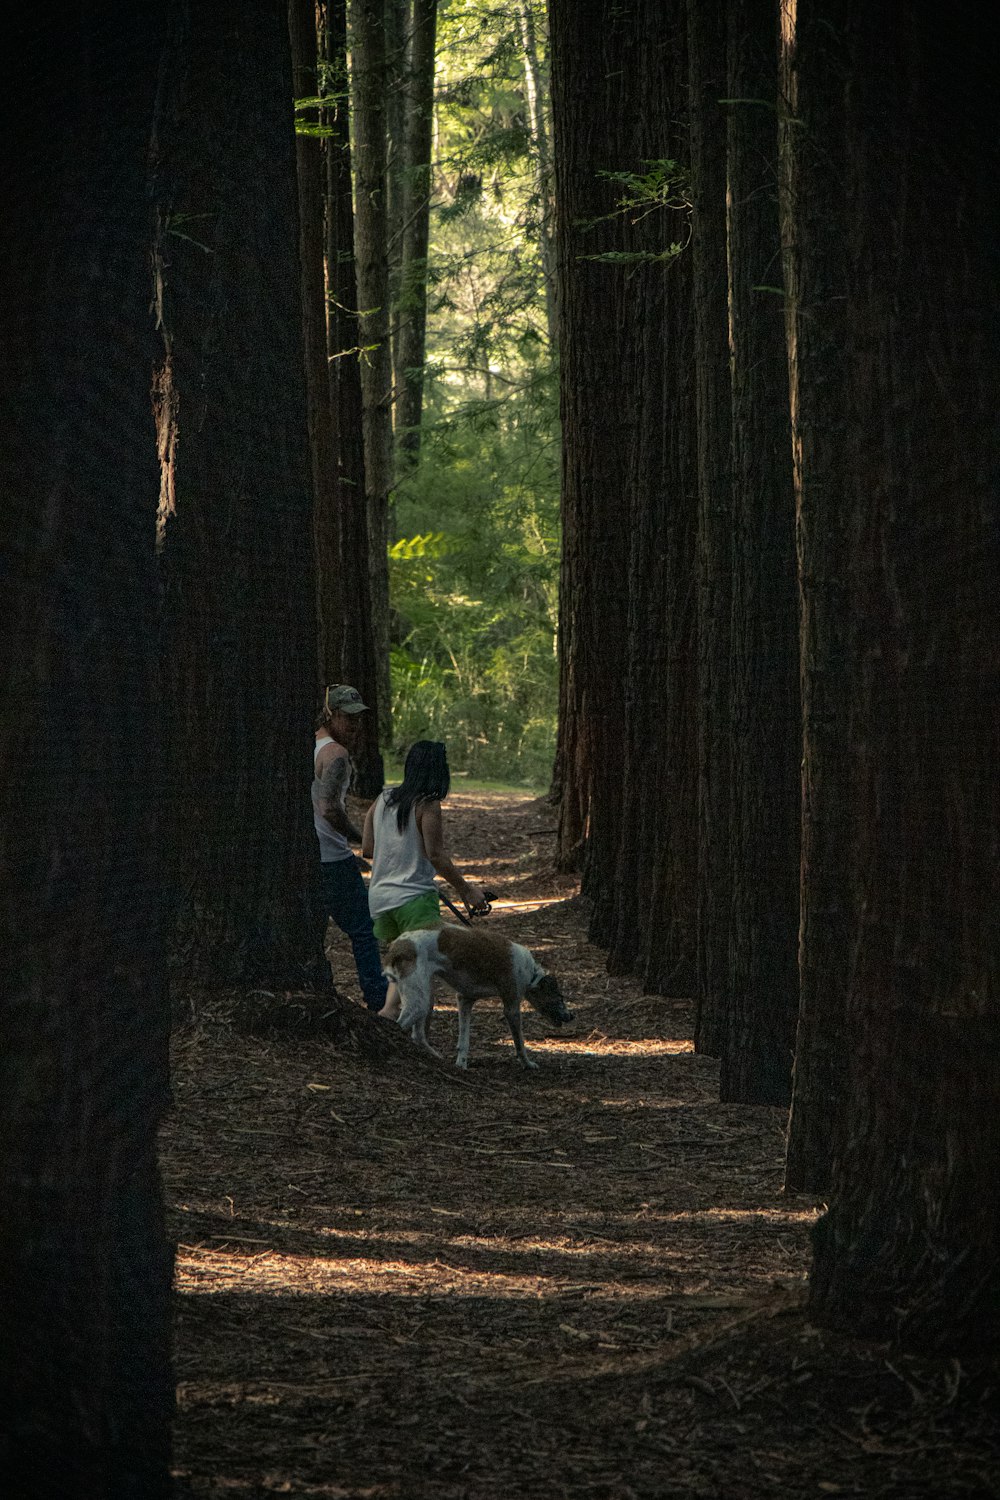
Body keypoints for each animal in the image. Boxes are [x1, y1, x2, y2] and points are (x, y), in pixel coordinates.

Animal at [379, 924, 575, 1068]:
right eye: (560, 997)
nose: (571, 1016)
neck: (531, 973)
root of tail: (396, 946)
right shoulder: (511, 1007)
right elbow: (519, 1043)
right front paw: (527, 1064)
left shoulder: (465, 999)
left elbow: (463, 1042)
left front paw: (461, 1065)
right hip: (419, 1002)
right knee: (401, 1027)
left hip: (424, 997)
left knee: (418, 1035)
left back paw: (435, 1057)